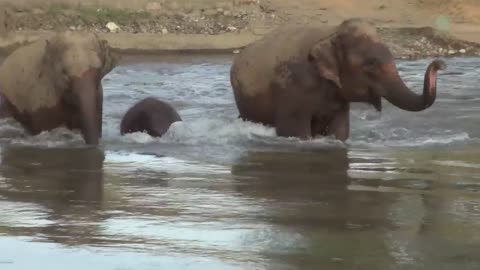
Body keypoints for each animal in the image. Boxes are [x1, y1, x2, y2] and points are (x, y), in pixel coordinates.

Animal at [230, 18, 446, 141]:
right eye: (371, 64)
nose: (441, 63)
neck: (331, 33)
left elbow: (340, 131)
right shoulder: (293, 89)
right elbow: (294, 132)